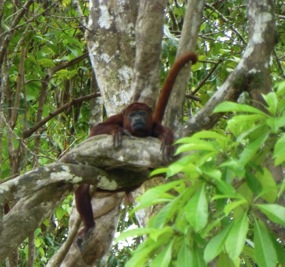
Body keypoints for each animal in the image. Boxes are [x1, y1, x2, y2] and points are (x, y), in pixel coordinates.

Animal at [74, 51, 196, 238]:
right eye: (132, 115)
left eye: (141, 113)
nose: (137, 119)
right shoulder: (119, 117)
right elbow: (96, 131)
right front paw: (116, 131)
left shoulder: (153, 126)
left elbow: (165, 134)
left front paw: (167, 139)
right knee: (82, 188)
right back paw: (89, 225)